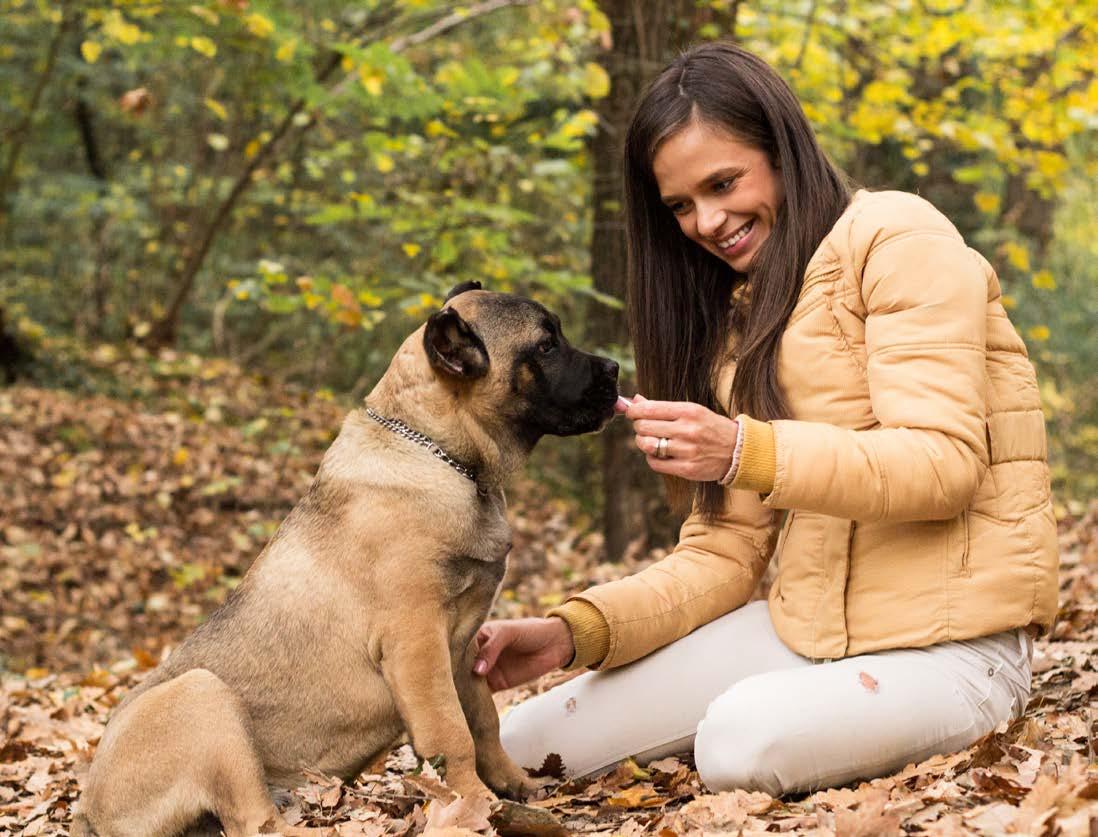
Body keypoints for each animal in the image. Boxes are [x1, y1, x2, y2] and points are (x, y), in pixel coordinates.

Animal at [73, 282, 619, 836]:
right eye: (546, 346)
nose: (616, 368)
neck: (442, 455)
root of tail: (89, 810)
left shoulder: (465, 647)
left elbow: (484, 721)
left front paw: (516, 787)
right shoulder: (417, 643)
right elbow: (450, 733)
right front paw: (472, 805)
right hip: (202, 696)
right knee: (255, 821)